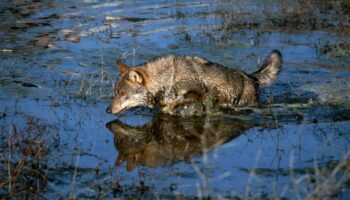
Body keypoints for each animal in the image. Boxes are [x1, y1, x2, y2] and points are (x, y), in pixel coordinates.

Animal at [106, 50, 282, 115]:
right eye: (115, 93)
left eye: (123, 94)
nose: (107, 110)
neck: (169, 78)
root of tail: (252, 77)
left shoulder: (199, 94)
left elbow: (175, 103)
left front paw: (169, 108)